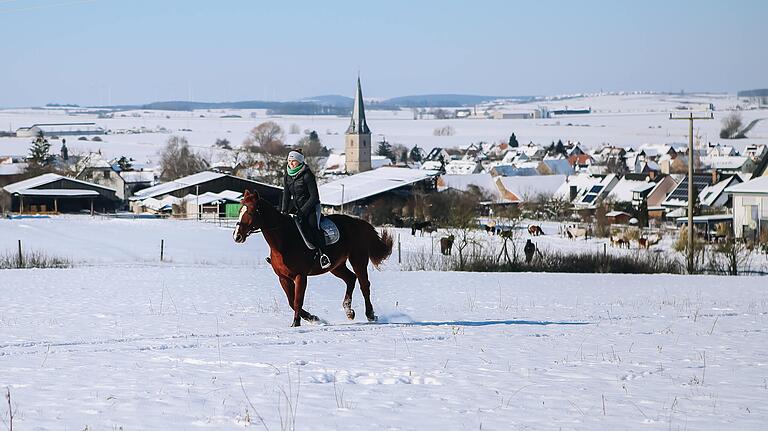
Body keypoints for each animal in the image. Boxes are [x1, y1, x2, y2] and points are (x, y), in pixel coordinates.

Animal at [231, 191, 392, 330]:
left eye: (251, 212)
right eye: (239, 211)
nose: (237, 236)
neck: (283, 240)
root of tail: (358, 222)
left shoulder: (300, 276)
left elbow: (297, 300)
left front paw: (296, 323)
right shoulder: (283, 278)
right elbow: (291, 301)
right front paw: (313, 318)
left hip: (358, 260)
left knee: (364, 284)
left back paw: (370, 315)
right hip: (336, 266)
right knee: (351, 278)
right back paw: (349, 311)